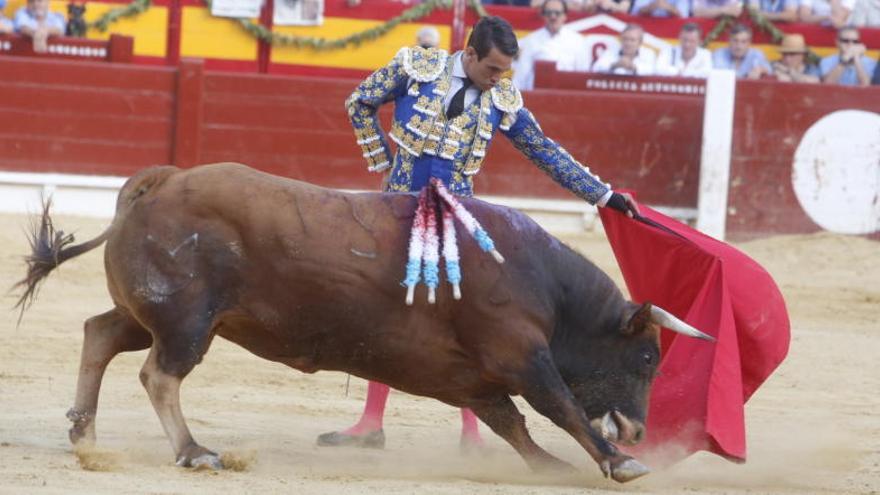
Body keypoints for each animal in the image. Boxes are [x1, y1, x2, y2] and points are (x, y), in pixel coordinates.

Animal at [13, 163, 712, 484]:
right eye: (647, 358)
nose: (641, 428)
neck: (545, 285)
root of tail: (160, 180)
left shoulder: (474, 378)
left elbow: (511, 424)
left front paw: (549, 467)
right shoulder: (521, 357)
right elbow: (561, 407)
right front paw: (620, 462)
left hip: (159, 314)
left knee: (101, 333)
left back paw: (85, 434)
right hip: (188, 323)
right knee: (160, 375)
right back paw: (195, 451)